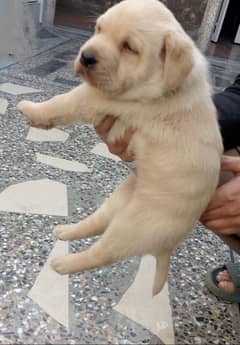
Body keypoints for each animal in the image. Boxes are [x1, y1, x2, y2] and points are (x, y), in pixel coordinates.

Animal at [17, 0, 223, 296]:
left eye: (128, 47)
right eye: (98, 29)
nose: (86, 57)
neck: (162, 85)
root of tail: (169, 246)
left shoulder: (98, 98)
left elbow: (62, 101)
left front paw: (32, 109)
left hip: (130, 228)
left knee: (101, 253)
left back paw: (63, 264)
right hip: (117, 203)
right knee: (94, 224)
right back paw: (65, 231)